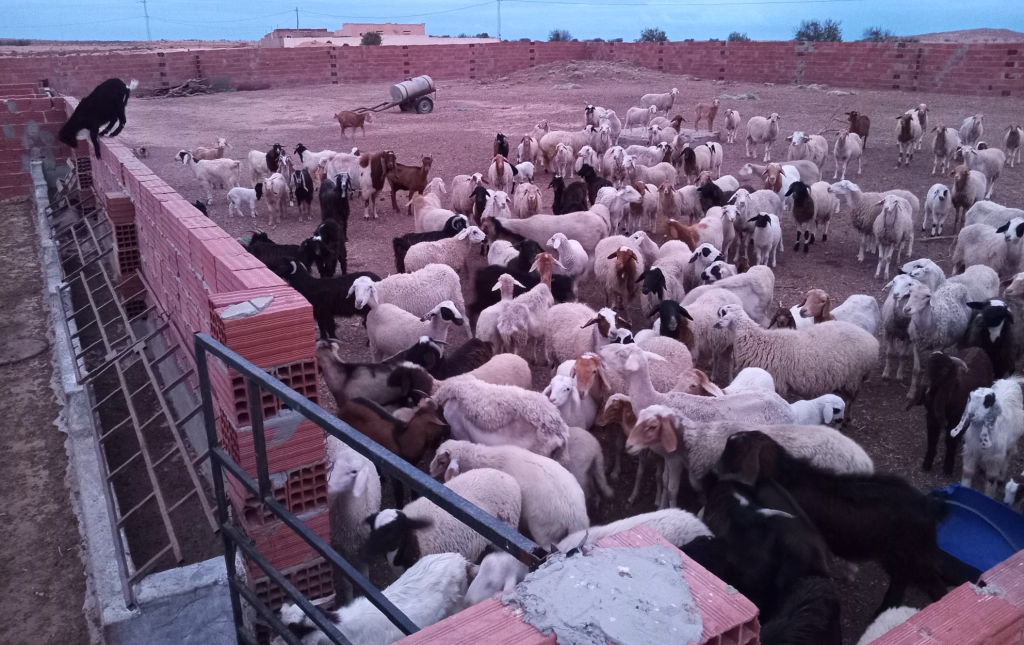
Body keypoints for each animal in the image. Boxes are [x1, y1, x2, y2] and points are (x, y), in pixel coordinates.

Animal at [712, 305, 880, 409]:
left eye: (723, 312)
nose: (717, 309)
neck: (759, 341)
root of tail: (874, 342)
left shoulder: (778, 382)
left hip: (853, 376)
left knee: (850, 400)